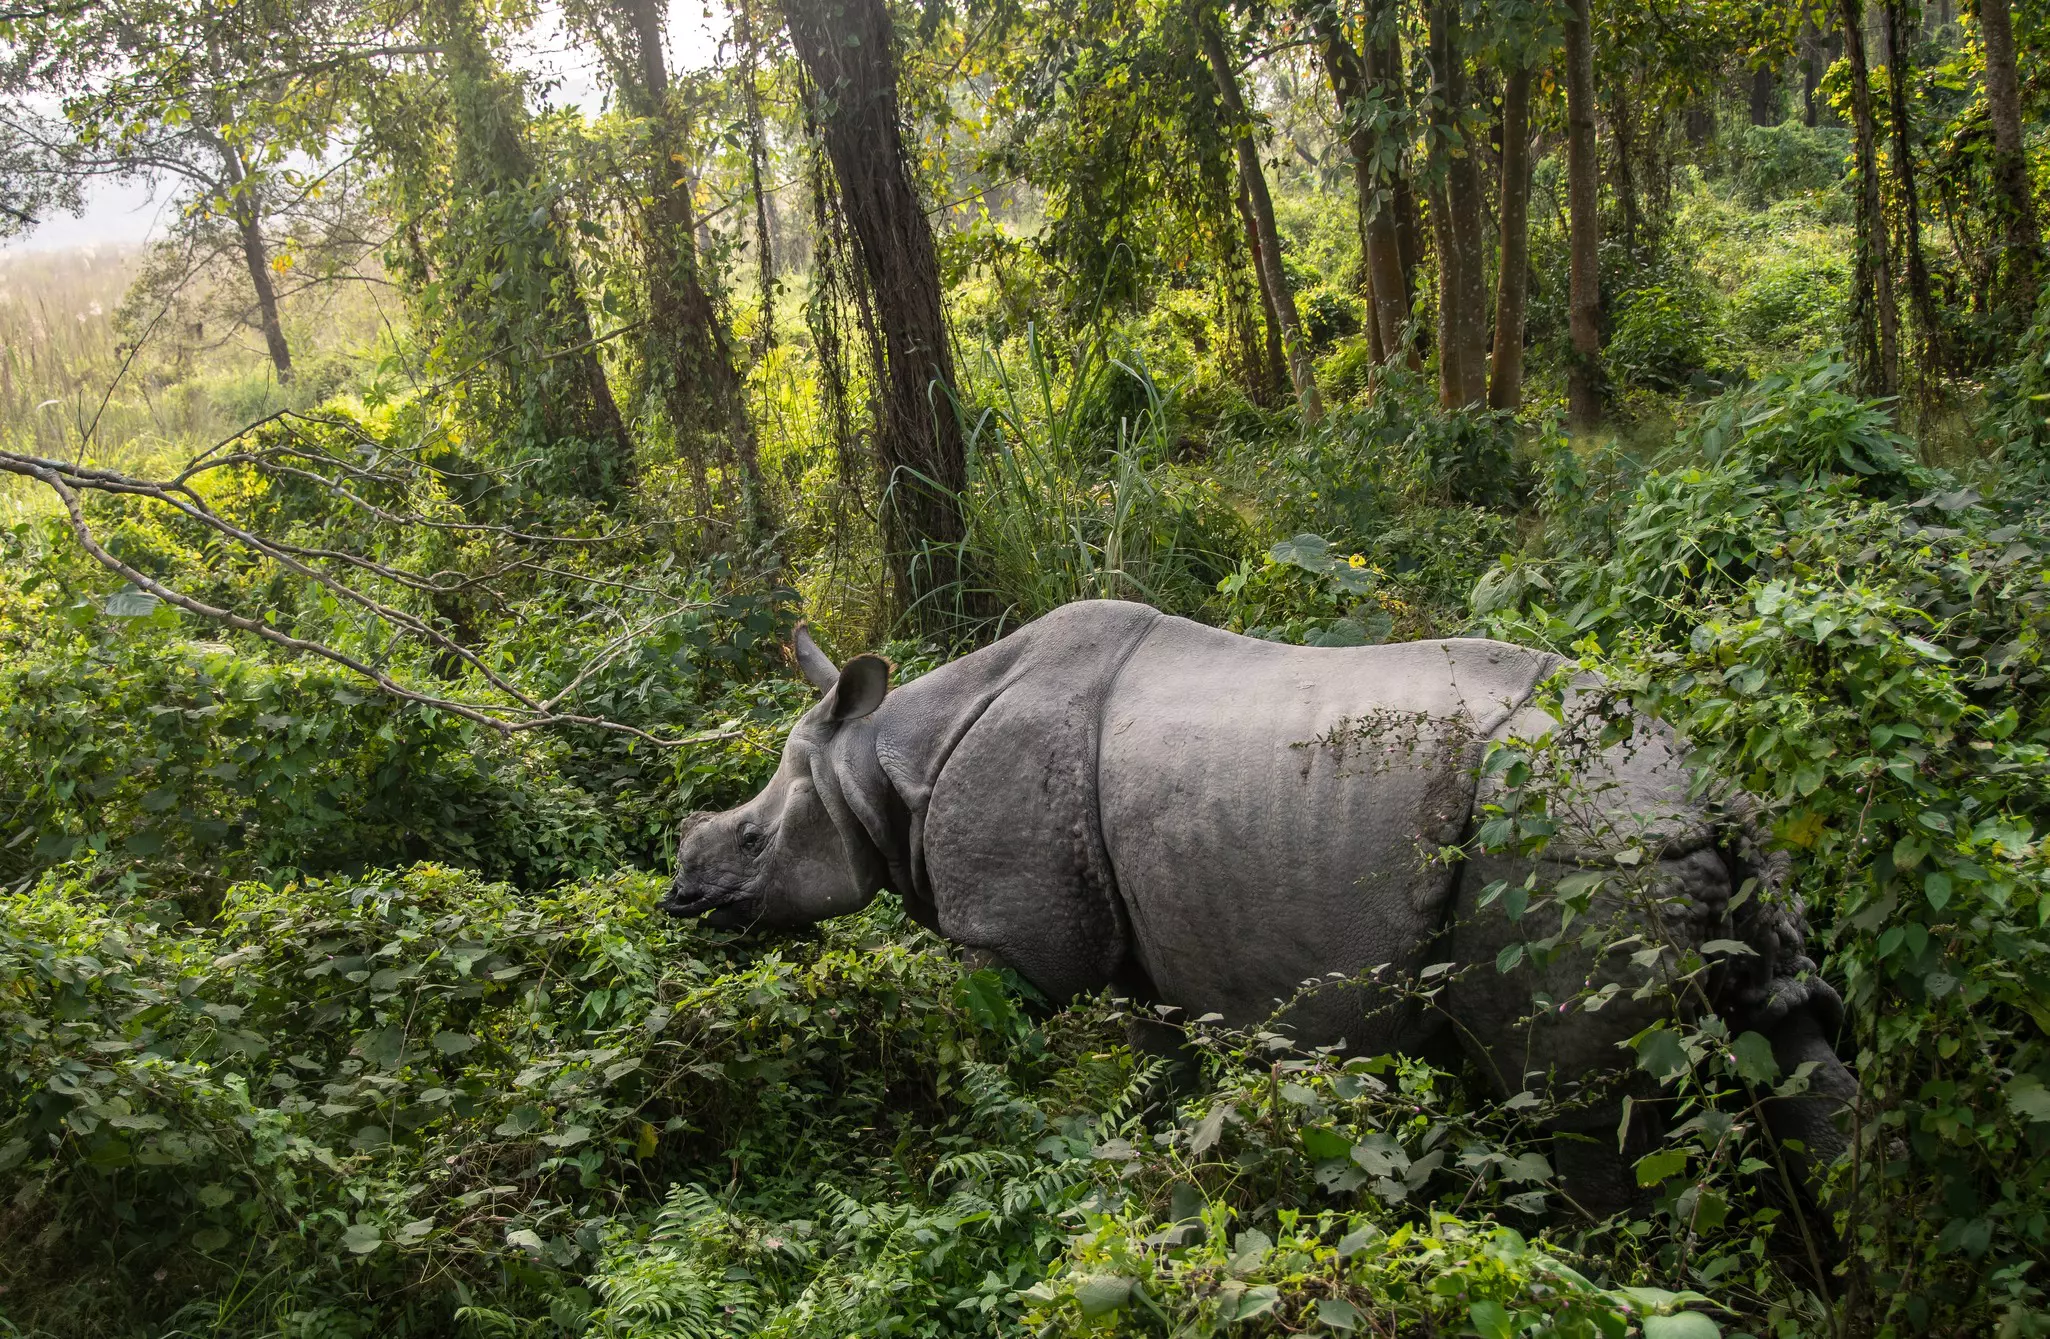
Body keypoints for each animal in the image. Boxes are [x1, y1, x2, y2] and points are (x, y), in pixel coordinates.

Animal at [666, 599, 1851, 1213]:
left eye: (755, 842)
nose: (682, 893)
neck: (883, 762)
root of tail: (1712, 788)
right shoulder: (1142, 955)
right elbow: (1155, 1074)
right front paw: (1157, 1176)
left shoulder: (1012, 948)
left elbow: (981, 1051)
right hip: (1666, 840)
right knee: (1786, 1042)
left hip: (1571, 839)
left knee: (1576, 1106)